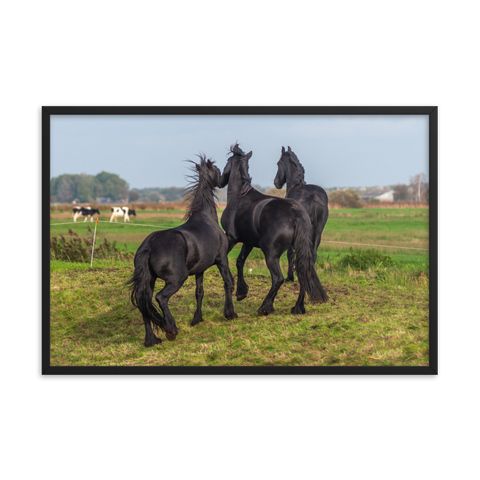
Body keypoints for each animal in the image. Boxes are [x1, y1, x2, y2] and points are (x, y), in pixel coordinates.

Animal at [124, 156, 235, 346]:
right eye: (217, 170)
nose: (223, 181)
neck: (206, 218)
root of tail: (149, 246)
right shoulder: (222, 260)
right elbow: (228, 283)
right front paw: (230, 314)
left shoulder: (200, 270)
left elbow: (199, 292)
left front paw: (197, 319)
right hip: (177, 279)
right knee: (161, 298)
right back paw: (171, 329)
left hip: (149, 281)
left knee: (145, 305)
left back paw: (151, 340)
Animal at [276, 144, 328, 284]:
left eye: (278, 163)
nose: (276, 182)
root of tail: (312, 196)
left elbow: (290, 253)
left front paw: (290, 276)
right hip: (318, 232)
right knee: (313, 254)